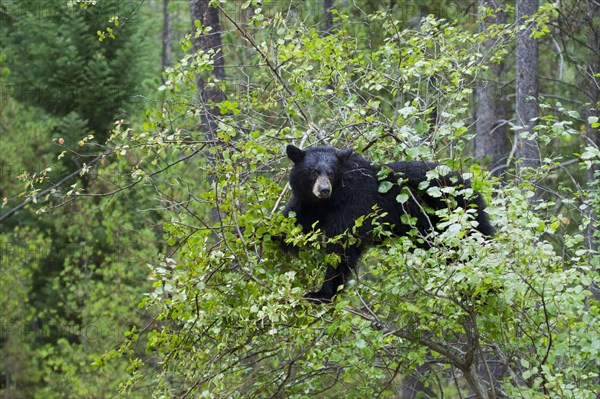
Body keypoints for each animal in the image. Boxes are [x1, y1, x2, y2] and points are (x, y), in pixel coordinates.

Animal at [284, 145, 494, 304]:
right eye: (313, 172)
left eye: (331, 173)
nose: (324, 189)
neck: (327, 202)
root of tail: (470, 185)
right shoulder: (305, 205)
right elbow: (289, 226)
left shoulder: (353, 206)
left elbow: (342, 248)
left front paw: (321, 294)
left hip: (457, 217)